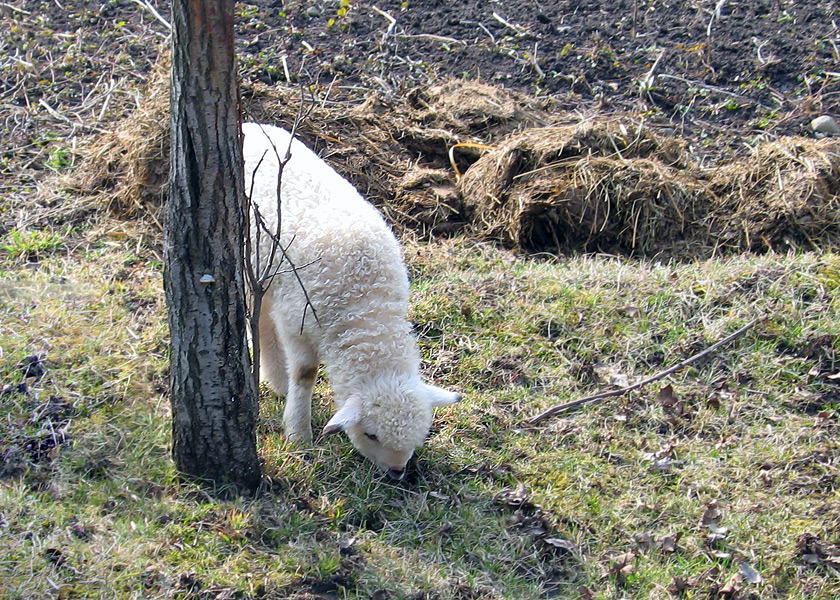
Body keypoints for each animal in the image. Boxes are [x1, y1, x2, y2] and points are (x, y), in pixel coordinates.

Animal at [243, 123, 460, 482]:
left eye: (421, 433)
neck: (365, 307)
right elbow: (305, 372)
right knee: (258, 317)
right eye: (370, 434)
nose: (396, 472)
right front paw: (298, 432)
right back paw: (276, 378)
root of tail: (251, 124)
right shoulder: (297, 320)